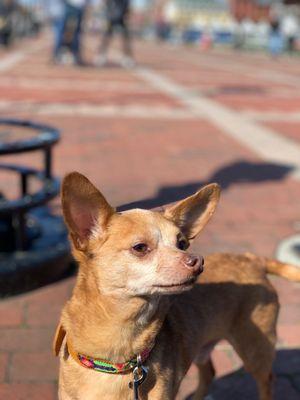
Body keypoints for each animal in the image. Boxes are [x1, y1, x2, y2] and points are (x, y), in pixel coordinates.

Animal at [54, 172, 300, 400]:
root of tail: (253, 259)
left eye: (182, 244)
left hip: (255, 349)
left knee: (266, 380)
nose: (198, 261)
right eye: (140, 247)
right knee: (209, 373)